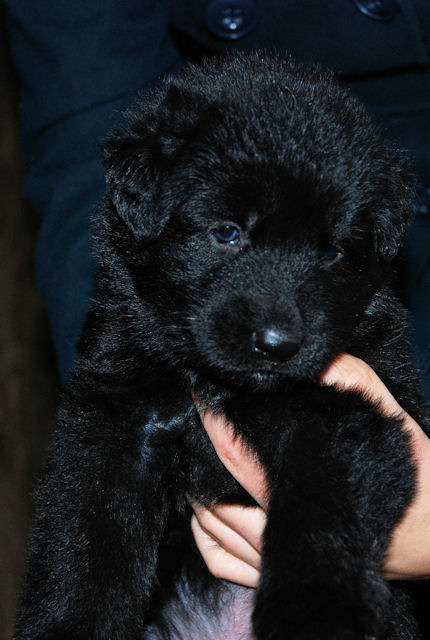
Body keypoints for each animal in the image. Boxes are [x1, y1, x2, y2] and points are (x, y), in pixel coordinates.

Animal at [16, 53, 430, 639]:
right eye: (228, 232)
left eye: (332, 251)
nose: (278, 345)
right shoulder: (115, 423)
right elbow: (85, 547)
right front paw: (67, 625)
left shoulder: (344, 418)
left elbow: (320, 521)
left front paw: (316, 614)